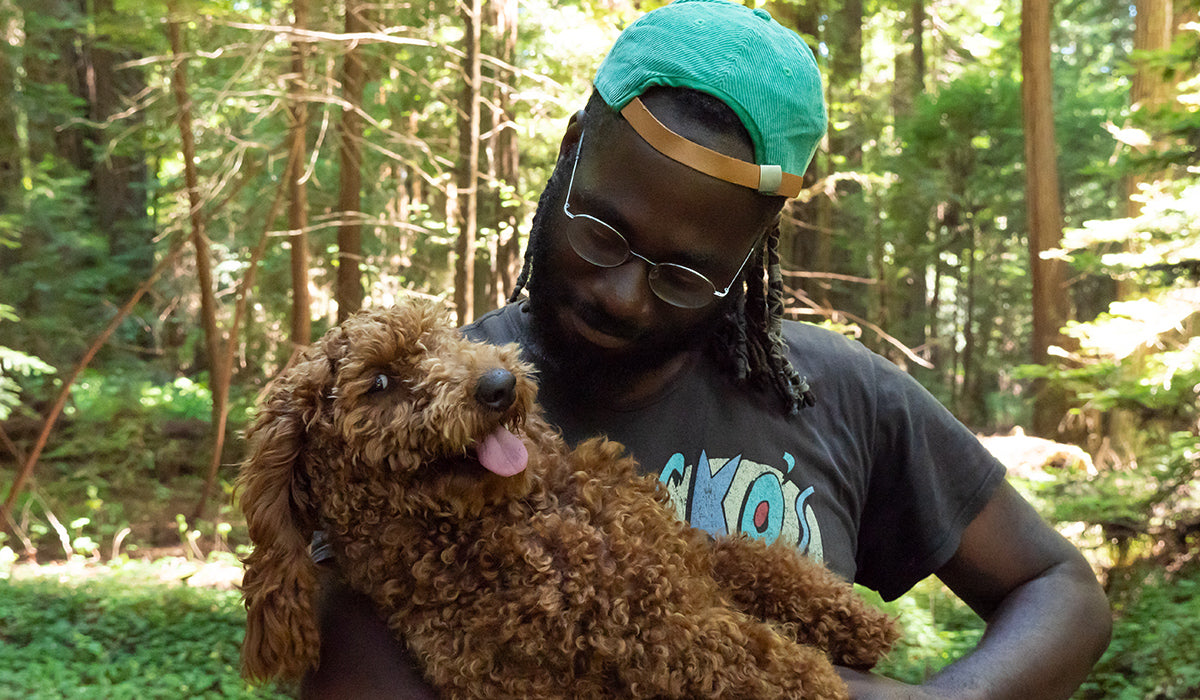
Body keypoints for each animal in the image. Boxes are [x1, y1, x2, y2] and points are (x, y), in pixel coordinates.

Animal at [238, 298, 902, 696]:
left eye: (445, 338)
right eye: (378, 382)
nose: (499, 385)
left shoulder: (685, 558)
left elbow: (762, 563)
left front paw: (859, 622)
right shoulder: (654, 631)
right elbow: (756, 660)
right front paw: (821, 681)